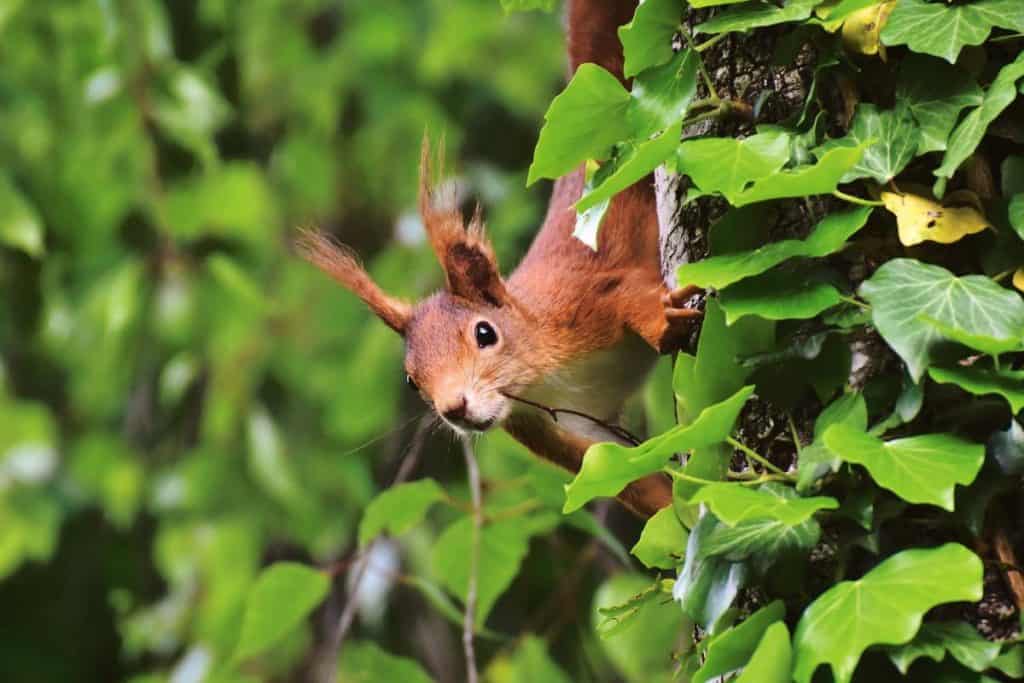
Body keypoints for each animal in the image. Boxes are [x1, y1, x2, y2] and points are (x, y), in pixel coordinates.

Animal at [298, 0, 701, 518]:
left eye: (485, 334)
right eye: (411, 381)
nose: (454, 409)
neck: (541, 380)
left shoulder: (584, 302)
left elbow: (626, 293)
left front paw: (664, 321)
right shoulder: (555, 429)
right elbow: (624, 475)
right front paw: (678, 514)